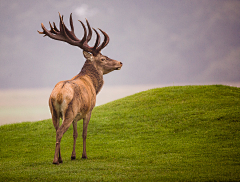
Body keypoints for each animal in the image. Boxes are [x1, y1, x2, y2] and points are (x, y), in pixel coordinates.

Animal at [38, 12, 123, 164]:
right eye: (103, 58)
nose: (120, 62)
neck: (93, 84)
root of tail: (58, 94)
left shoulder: (76, 116)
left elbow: (75, 133)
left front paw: (73, 155)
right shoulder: (88, 110)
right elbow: (84, 133)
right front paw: (84, 155)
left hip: (54, 111)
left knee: (57, 130)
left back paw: (61, 158)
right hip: (69, 111)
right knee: (60, 132)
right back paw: (55, 160)